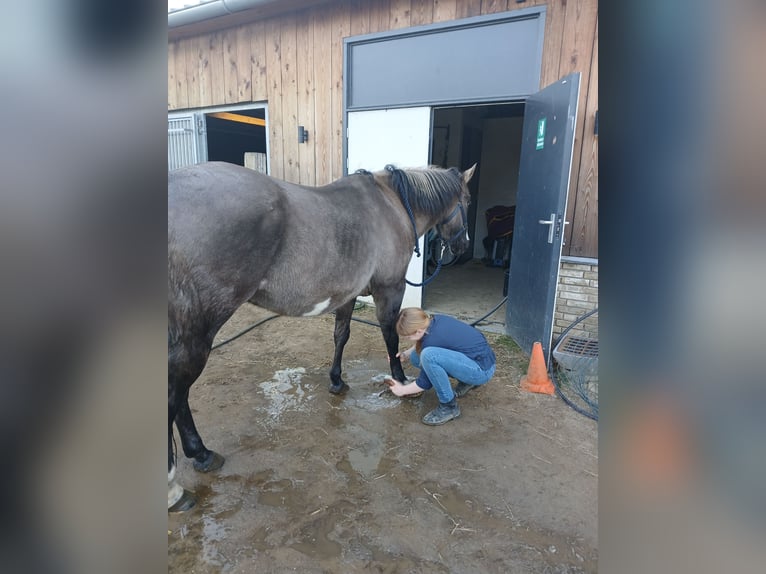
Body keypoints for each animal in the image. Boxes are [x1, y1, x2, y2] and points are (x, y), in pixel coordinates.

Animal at [168, 161, 476, 510]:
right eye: (467, 200)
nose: (464, 246)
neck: (391, 203)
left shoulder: (348, 294)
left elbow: (341, 334)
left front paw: (337, 381)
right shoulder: (390, 288)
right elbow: (390, 336)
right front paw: (400, 381)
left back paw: (198, 456)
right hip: (199, 329)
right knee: (176, 390)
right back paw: (183, 480)